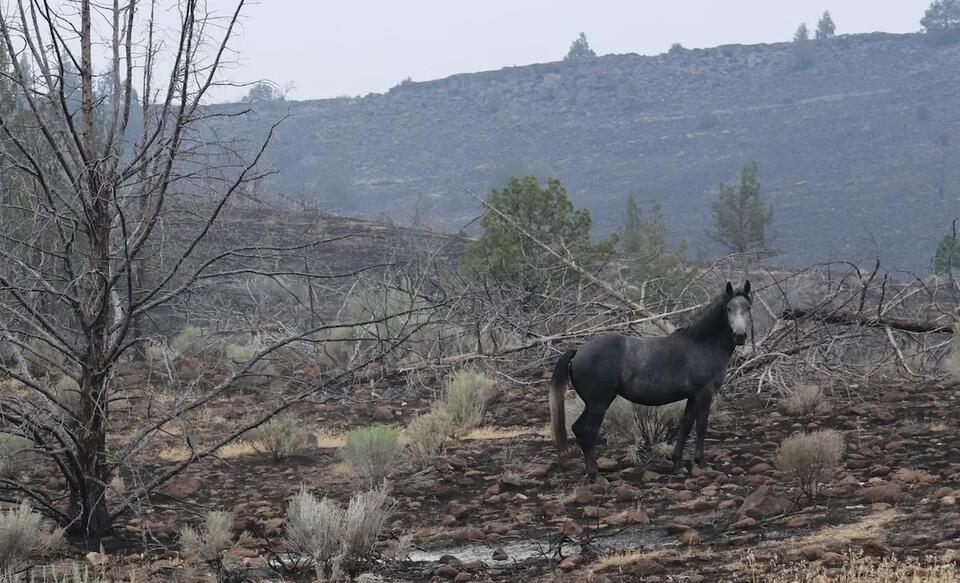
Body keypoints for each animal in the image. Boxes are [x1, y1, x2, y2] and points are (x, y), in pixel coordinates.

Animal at [549, 281, 752, 476]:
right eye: (728, 308)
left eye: (748, 307)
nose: (740, 336)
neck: (703, 343)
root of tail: (578, 352)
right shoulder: (704, 393)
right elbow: (701, 426)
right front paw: (701, 462)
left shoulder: (693, 396)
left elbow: (686, 425)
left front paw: (677, 462)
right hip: (599, 403)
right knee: (588, 432)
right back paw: (595, 474)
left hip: (592, 404)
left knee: (578, 429)